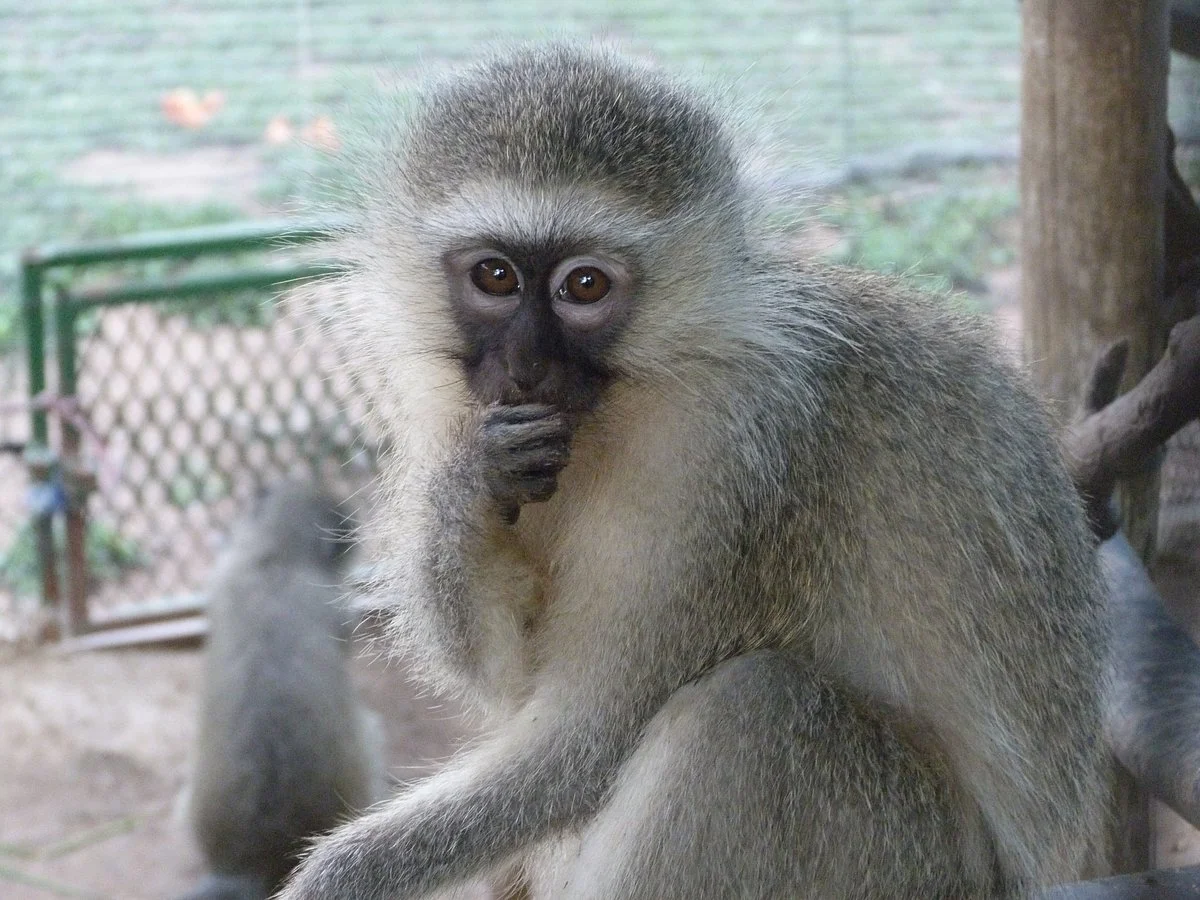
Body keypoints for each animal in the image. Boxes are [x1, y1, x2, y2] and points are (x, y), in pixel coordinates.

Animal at [278, 43, 1110, 900]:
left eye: (584, 286)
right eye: (496, 276)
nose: (528, 366)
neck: (631, 396)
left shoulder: (719, 457)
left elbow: (586, 739)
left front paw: (339, 877)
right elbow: (509, 678)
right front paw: (471, 488)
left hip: (909, 859)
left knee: (750, 714)